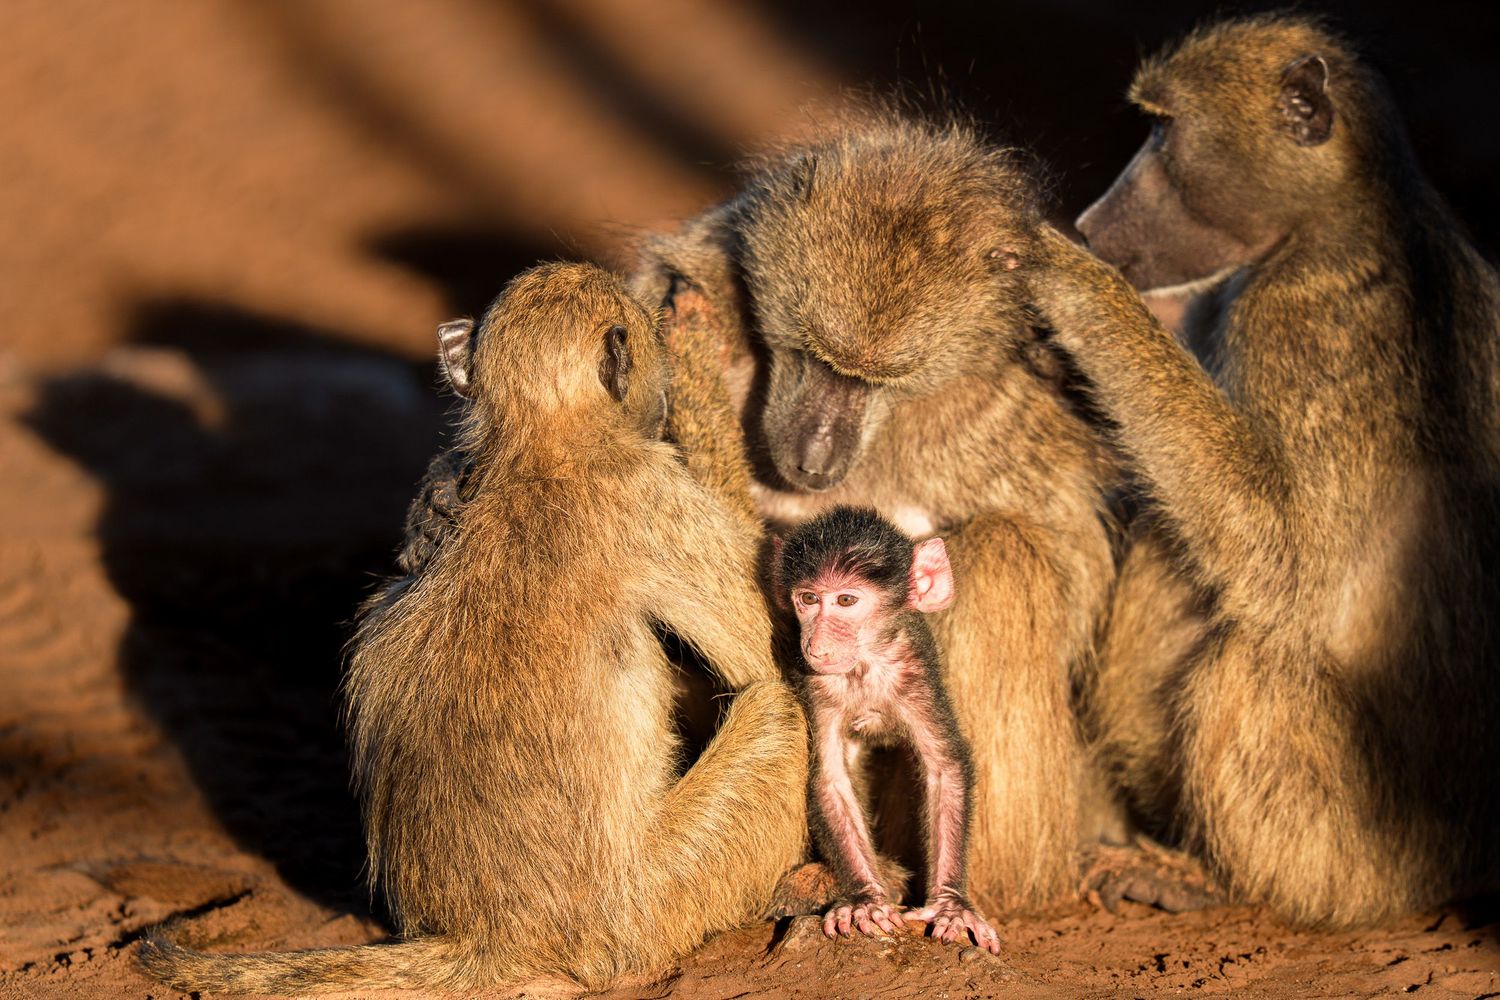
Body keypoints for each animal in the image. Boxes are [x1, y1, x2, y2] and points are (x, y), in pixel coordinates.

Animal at [137, 262, 809, 994]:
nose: (660, 402)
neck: (539, 440)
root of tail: (489, 937)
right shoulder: (647, 488)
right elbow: (773, 655)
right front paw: (696, 348)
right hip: (654, 908)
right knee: (780, 711)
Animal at [777, 506, 1001, 954]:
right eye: (808, 599)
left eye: (846, 600)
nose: (817, 645)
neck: (864, 664)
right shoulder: (818, 684)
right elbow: (831, 779)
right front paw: (865, 899)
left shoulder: (912, 670)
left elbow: (944, 767)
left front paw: (951, 905)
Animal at [1025, 14, 1500, 926]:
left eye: (1163, 130)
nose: (1094, 222)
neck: (1346, 215)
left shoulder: (1310, 329)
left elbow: (1281, 550)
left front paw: (1072, 284)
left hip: (1363, 846)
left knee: (1245, 655)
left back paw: (1223, 883)